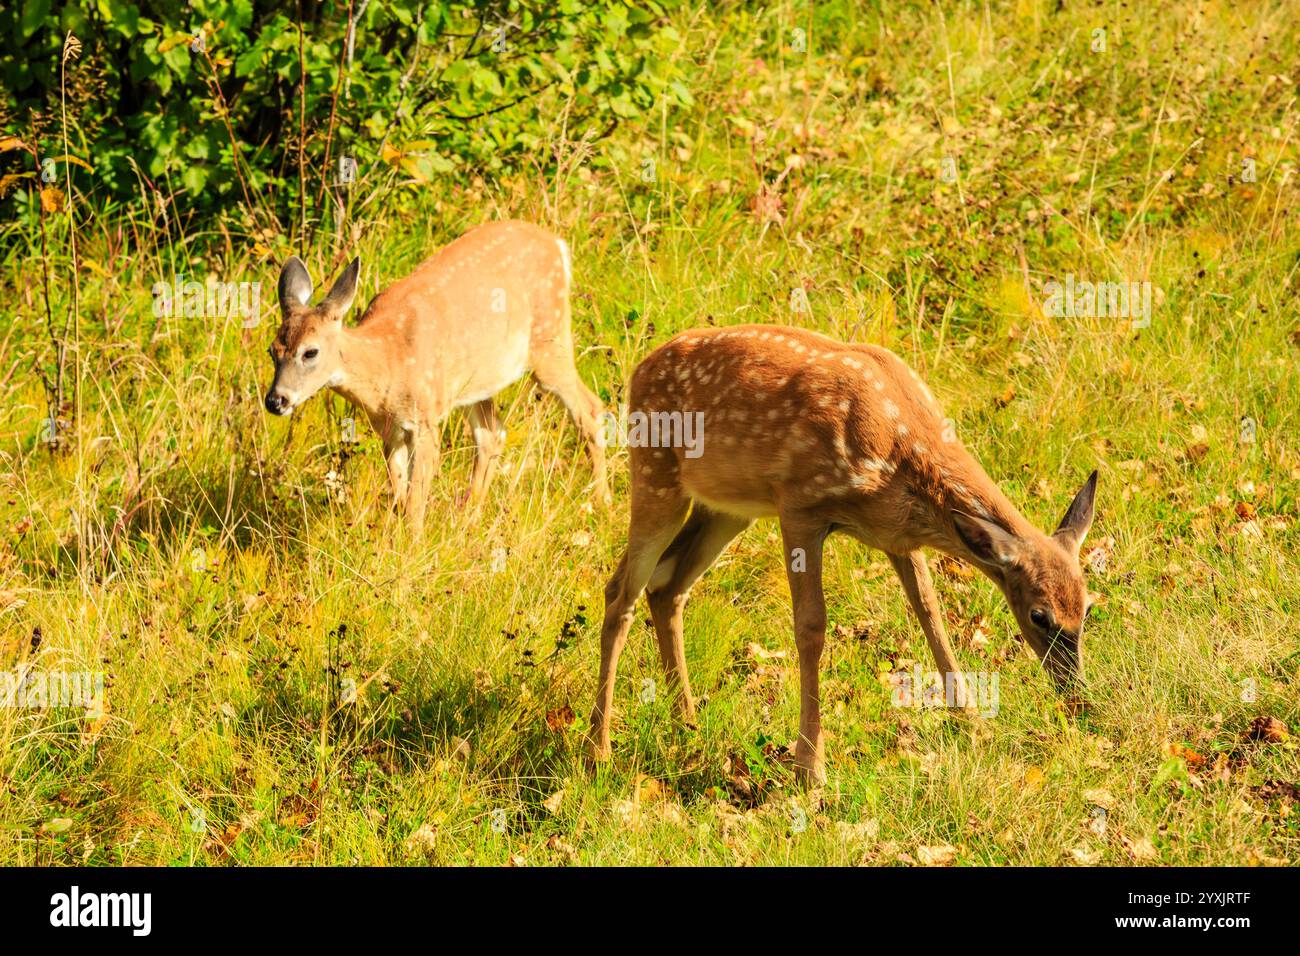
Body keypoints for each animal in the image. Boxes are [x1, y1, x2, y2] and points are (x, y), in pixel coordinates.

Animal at [263, 221, 613, 530]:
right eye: (272, 350)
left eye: (310, 352)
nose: (276, 400)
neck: (388, 364)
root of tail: (559, 245)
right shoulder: (389, 431)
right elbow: (400, 498)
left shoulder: (425, 419)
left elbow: (415, 503)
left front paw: (411, 550)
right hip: (477, 379)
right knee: (492, 434)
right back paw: (470, 518)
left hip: (548, 337)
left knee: (590, 410)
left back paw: (601, 504)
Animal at [590, 323, 1097, 785]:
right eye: (1039, 616)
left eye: (1087, 608)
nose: (1075, 694)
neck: (902, 450)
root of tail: (637, 371)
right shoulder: (799, 505)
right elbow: (812, 628)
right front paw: (809, 770)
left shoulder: (897, 538)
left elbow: (930, 612)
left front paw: (971, 723)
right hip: (656, 474)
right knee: (620, 592)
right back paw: (600, 748)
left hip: (726, 508)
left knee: (667, 587)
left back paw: (687, 722)